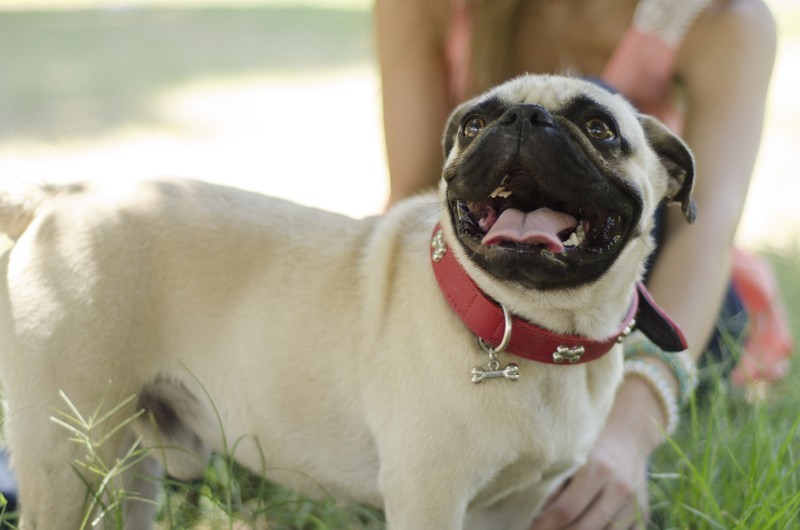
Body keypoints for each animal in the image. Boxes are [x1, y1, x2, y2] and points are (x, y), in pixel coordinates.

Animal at [0, 72, 692, 524]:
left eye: (600, 129)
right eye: (473, 124)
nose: (522, 117)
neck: (534, 327)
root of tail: (60, 197)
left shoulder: (514, 508)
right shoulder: (429, 500)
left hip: (126, 469)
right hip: (68, 461)